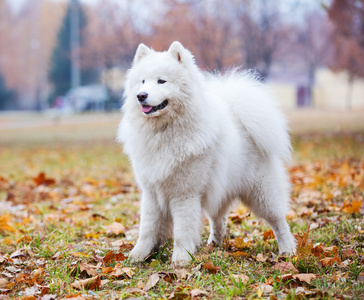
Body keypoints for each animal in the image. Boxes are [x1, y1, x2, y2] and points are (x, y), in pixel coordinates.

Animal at [116, 40, 296, 264]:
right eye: (142, 82)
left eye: (161, 81)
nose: (141, 96)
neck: (164, 131)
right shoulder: (151, 192)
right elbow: (147, 229)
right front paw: (137, 256)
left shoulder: (185, 194)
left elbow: (182, 230)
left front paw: (181, 259)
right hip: (220, 189)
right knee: (218, 219)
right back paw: (214, 245)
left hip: (262, 192)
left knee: (278, 220)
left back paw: (288, 250)